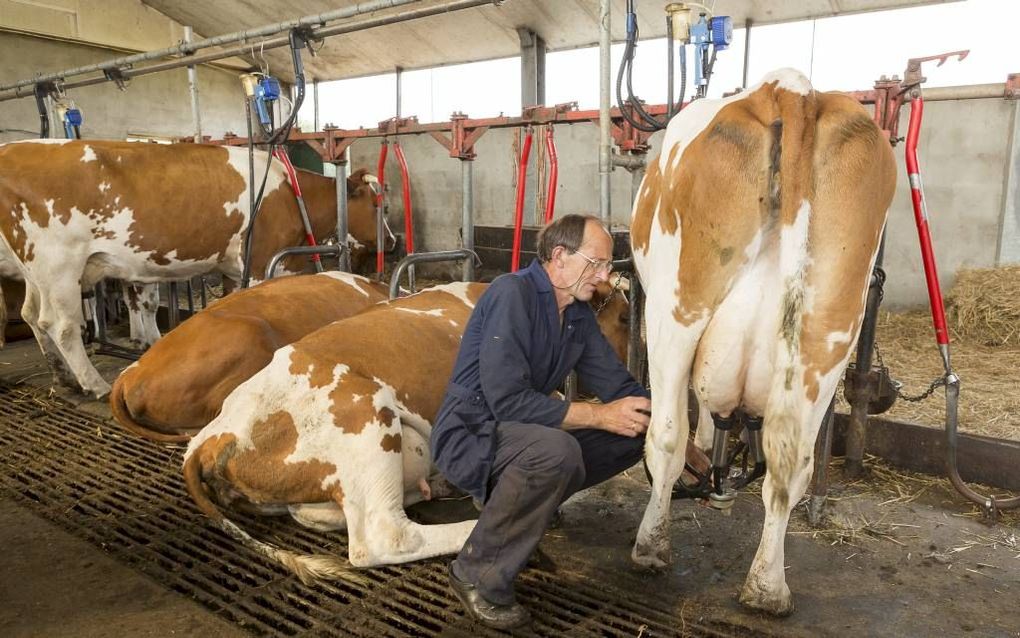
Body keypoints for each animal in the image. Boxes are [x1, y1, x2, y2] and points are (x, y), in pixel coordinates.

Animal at [0, 140, 385, 398]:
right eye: (377, 205)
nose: (392, 242)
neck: (289, 193)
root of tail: (12, 148)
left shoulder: (237, 265)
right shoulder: (261, 258)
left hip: (36, 271)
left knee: (32, 315)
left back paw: (62, 377)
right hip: (58, 264)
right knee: (62, 325)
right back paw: (94, 383)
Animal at [628, 68, 893, 612]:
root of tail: (791, 90)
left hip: (674, 311)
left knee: (666, 436)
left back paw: (651, 547)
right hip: (827, 333)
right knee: (791, 463)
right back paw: (768, 589)